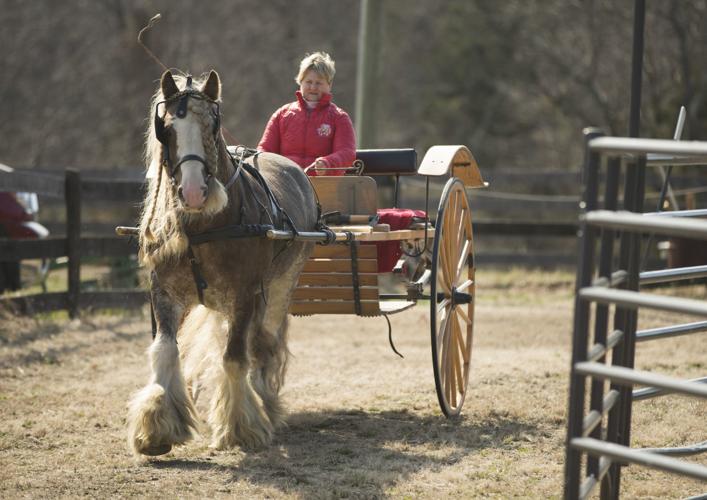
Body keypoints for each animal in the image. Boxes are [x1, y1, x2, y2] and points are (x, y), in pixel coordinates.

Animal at [126, 70, 319, 456]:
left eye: (212, 125)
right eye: (166, 128)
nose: (193, 193)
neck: (204, 227)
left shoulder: (245, 294)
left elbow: (234, 356)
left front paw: (241, 427)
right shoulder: (164, 293)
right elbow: (165, 350)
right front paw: (157, 427)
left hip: (280, 286)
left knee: (262, 342)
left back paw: (265, 402)